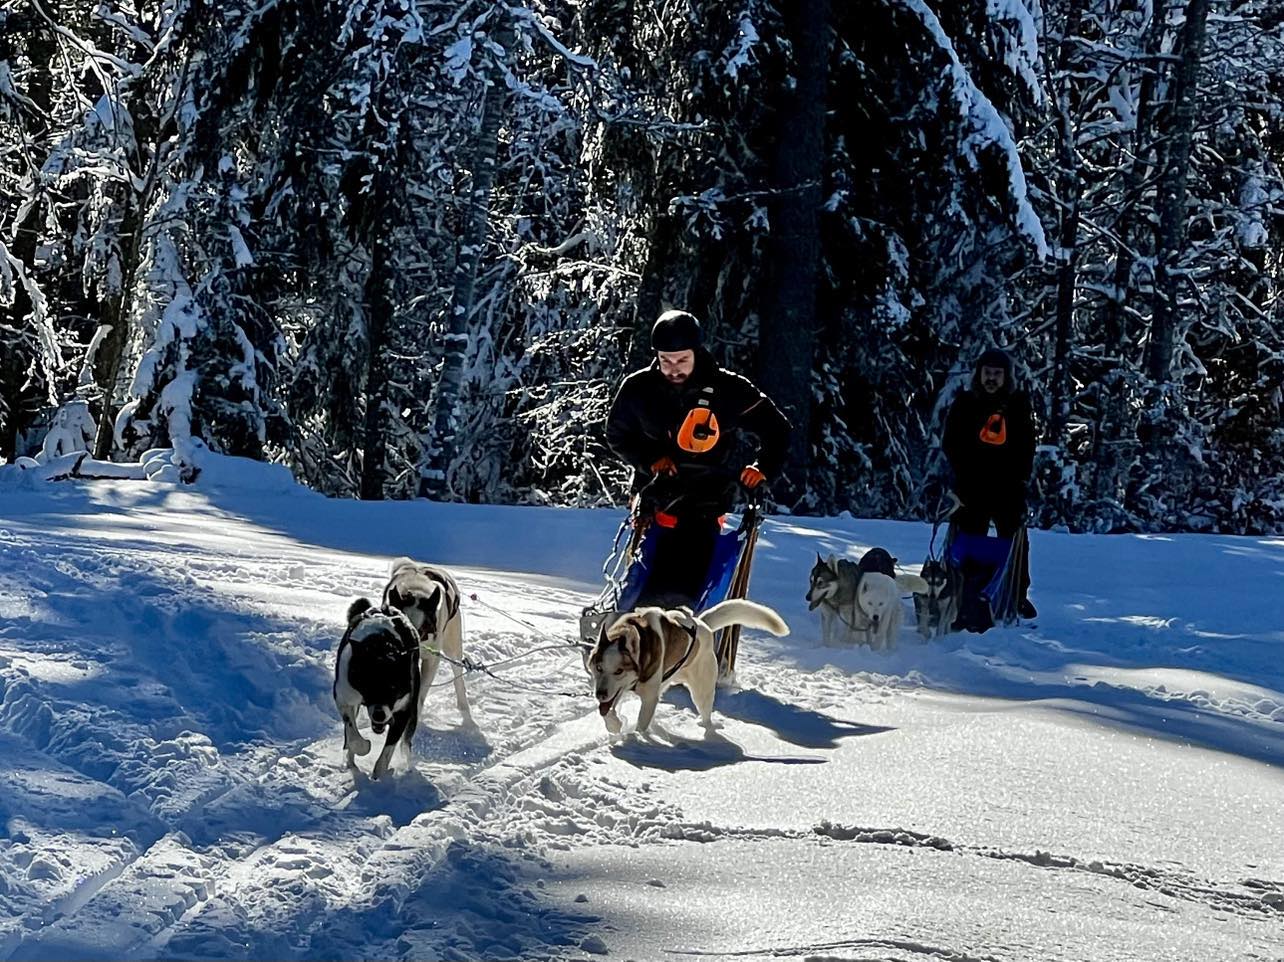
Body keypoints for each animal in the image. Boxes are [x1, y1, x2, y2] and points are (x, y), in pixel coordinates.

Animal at [333, 601, 423, 780]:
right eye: (369, 686)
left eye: (394, 688)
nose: (379, 715)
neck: (380, 646)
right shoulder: (343, 697)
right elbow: (353, 735)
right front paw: (363, 747)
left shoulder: (403, 711)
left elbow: (388, 749)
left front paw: (381, 772)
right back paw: (350, 761)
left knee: (405, 742)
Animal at [585, 601, 785, 734]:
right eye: (599, 668)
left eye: (619, 671)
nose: (600, 694)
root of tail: (702, 625)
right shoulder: (617, 692)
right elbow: (607, 712)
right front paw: (615, 725)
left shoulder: (649, 698)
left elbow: (641, 722)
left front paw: (634, 739)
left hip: (702, 691)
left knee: (706, 713)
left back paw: (707, 729)